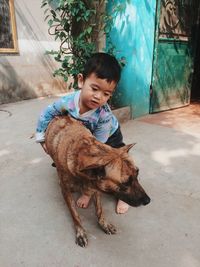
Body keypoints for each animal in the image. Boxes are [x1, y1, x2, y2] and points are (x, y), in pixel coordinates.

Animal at [44, 116, 150, 248]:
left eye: (137, 174)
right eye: (126, 183)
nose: (148, 201)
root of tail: (61, 115)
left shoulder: (96, 187)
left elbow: (99, 209)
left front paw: (104, 224)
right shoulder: (65, 190)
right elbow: (75, 214)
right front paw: (80, 231)